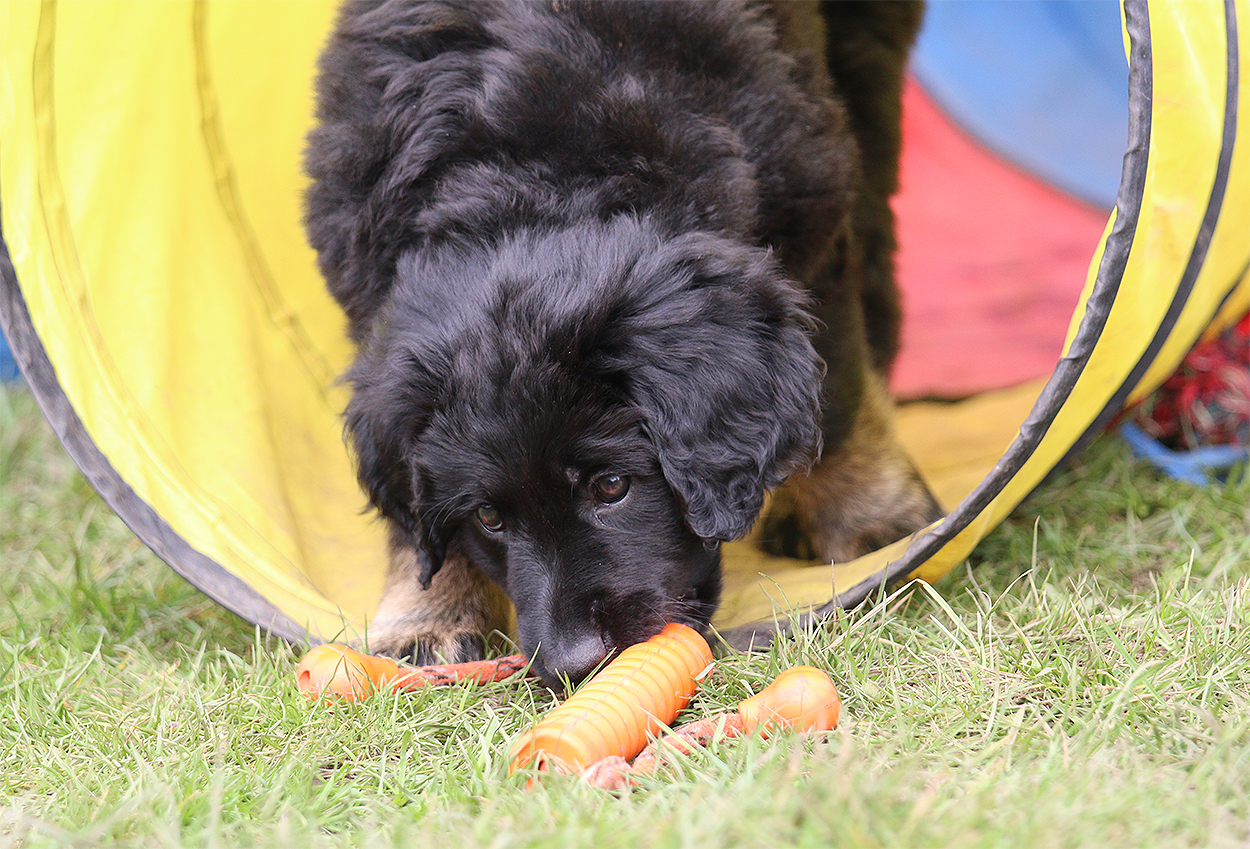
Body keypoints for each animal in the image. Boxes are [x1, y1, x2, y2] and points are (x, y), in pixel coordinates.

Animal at [303, 0, 940, 688]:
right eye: (489, 518)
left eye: (612, 486)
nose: (573, 665)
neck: (532, 178)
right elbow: (417, 521)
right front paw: (427, 617)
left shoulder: (812, 211)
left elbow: (837, 396)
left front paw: (870, 522)